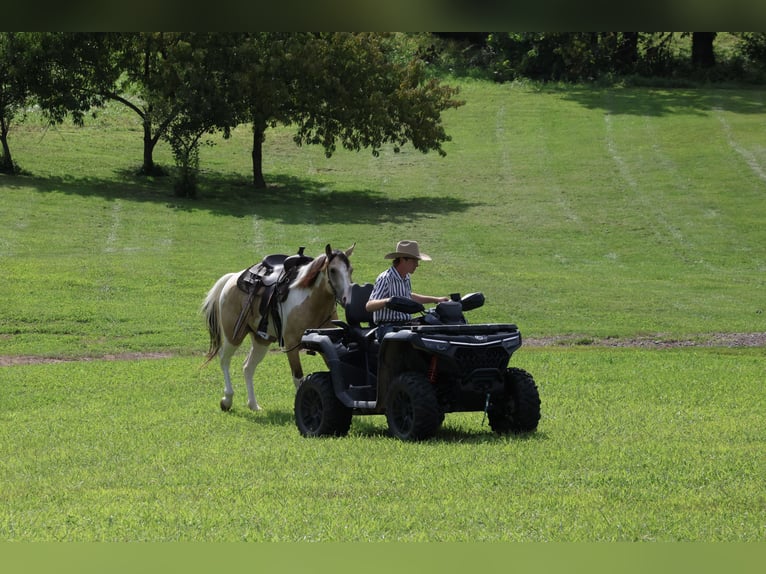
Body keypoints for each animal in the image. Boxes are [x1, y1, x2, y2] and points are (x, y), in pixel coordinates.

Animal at [201, 243, 354, 412]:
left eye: (351, 270)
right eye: (333, 270)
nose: (347, 298)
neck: (311, 303)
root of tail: (233, 277)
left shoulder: (328, 345)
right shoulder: (291, 346)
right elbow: (298, 378)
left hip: (261, 341)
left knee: (248, 367)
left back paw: (253, 404)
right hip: (233, 336)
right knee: (224, 360)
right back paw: (227, 399)